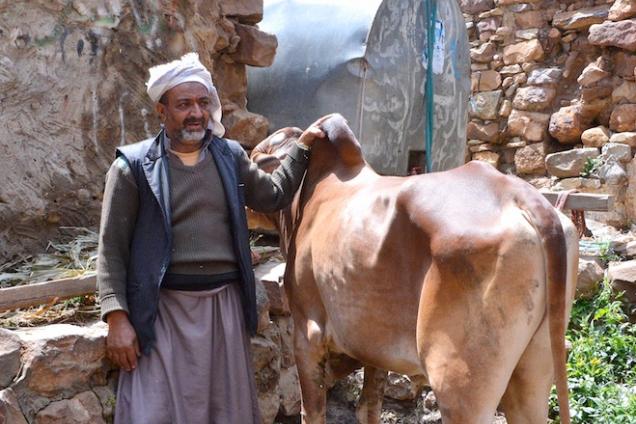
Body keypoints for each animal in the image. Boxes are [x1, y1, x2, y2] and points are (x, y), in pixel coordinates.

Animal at [251, 116, 580, 424]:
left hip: (459, 385)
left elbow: (313, 411)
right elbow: (368, 407)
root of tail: (520, 195)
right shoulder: (374, 348)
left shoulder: (307, 335)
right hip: (533, 372)